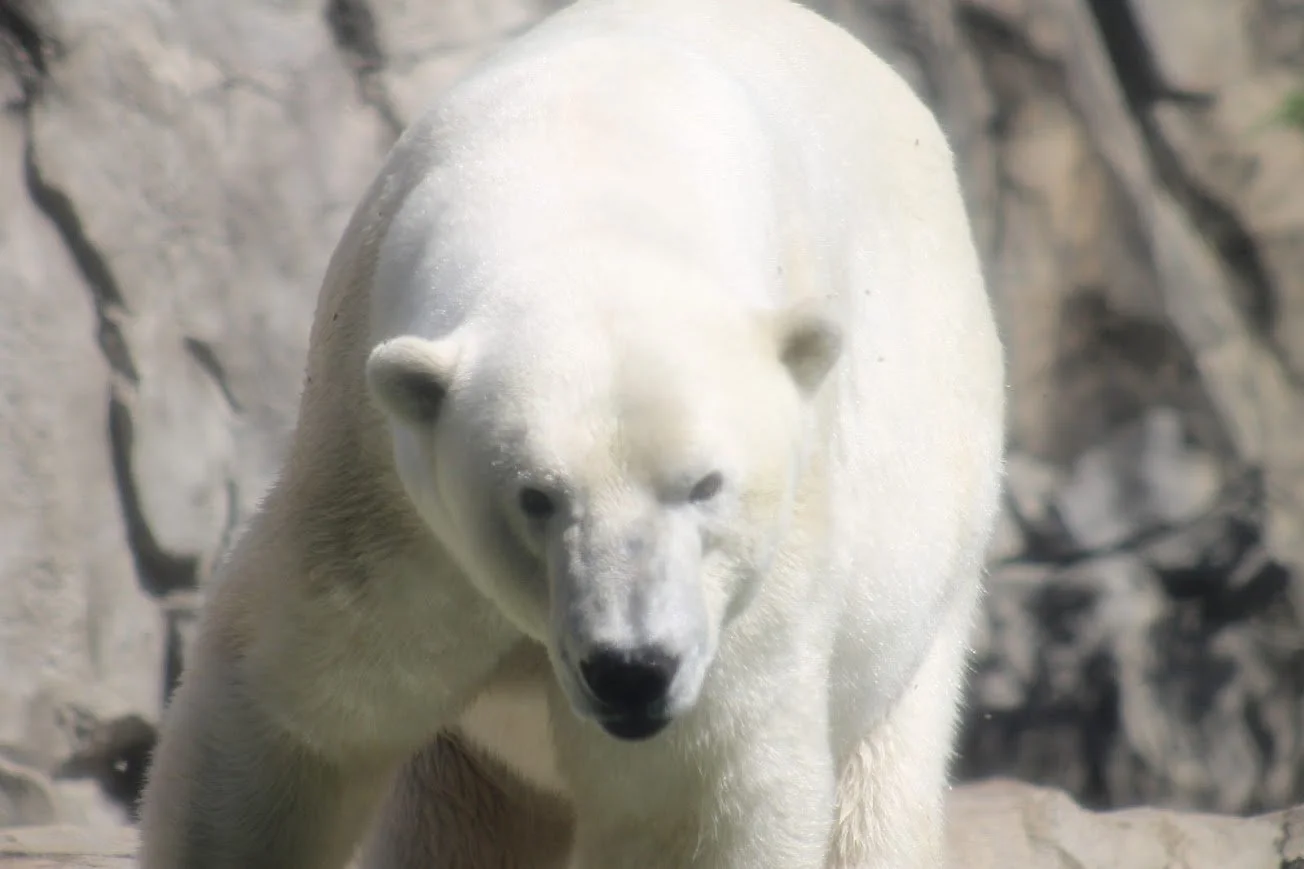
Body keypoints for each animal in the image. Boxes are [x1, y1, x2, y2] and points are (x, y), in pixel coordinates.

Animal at [136, 0, 1006, 866]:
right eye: (536, 497)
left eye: (704, 485)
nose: (631, 670)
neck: (588, 184)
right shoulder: (379, 497)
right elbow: (294, 715)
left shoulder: (750, 591)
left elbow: (694, 799)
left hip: (925, 575)